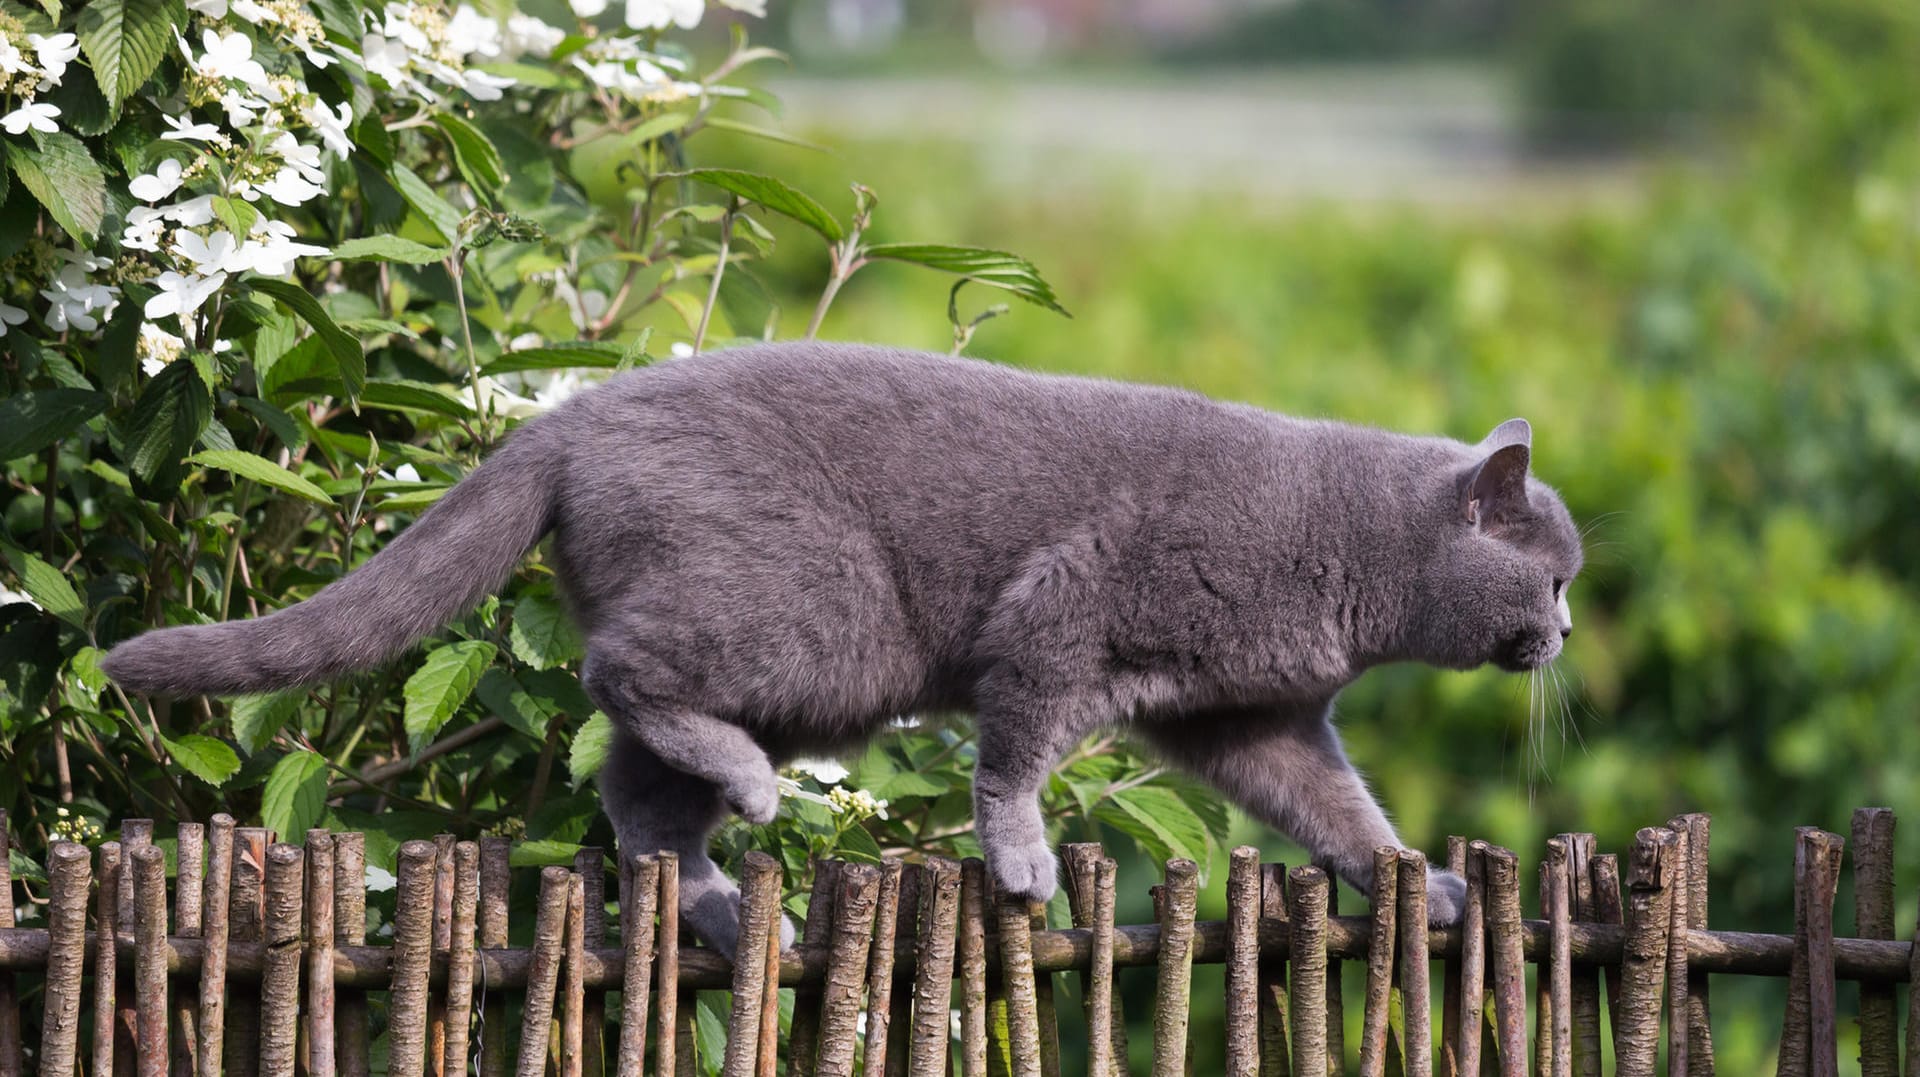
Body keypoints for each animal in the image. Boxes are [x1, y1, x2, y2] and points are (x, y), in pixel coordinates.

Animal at [97, 339, 1582, 952]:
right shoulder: (1061, 608)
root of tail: (566, 419)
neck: (1346, 557)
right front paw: (1024, 862)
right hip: (815, 620)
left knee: (635, 788)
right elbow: (1014, 756)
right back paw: (751, 798)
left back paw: (710, 895)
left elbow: (1336, 807)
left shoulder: (1251, 716)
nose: (1569, 627)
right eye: (1559, 573)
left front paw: (1422, 887)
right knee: (623, 676)